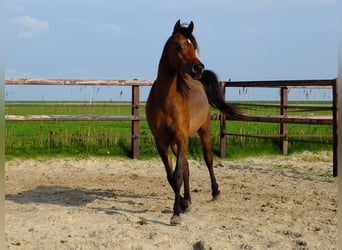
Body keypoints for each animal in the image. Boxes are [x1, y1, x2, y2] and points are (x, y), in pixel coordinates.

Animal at [146, 20, 244, 225]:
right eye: (179, 45)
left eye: (194, 47)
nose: (198, 68)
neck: (165, 99)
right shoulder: (162, 142)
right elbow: (172, 176)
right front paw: (182, 205)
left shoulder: (182, 137)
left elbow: (177, 176)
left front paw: (176, 213)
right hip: (177, 143)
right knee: (187, 167)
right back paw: (188, 200)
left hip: (202, 131)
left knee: (208, 159)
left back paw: (215, 192)